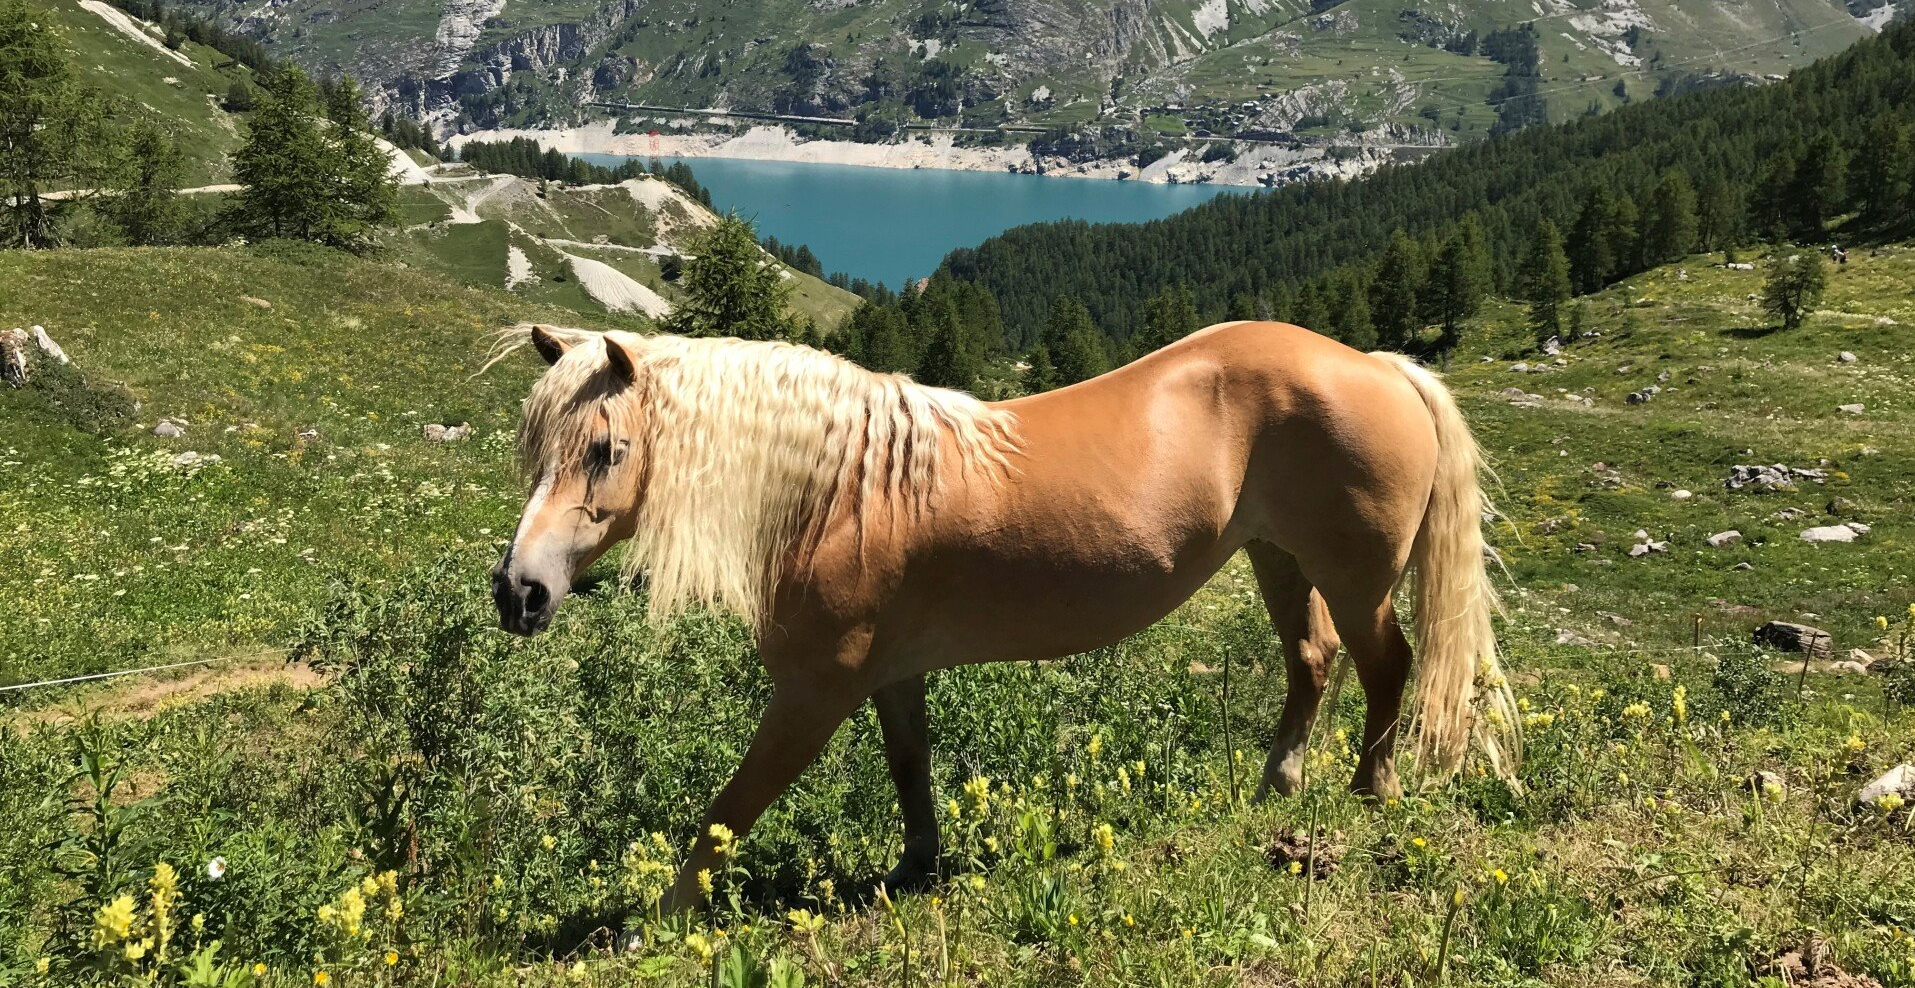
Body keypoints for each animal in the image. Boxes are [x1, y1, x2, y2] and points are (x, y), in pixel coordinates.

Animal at [489, 319, 1519, 909]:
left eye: (607, 449)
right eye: (533, 449)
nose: (518, 591)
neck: (839, 492)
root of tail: (1375, 365)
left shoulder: (815, 692)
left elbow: (729, 807)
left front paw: (666, 917)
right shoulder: (890, 676)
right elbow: (909, 768)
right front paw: (915, 869)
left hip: (1353, 577)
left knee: (1386, 666)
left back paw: (1371, 792)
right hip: (1277, 559)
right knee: (1311, 662)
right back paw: (1277, 786)